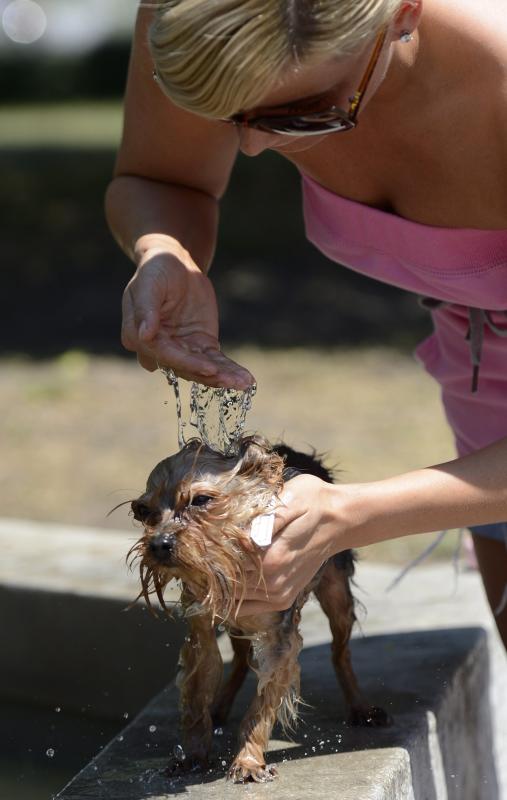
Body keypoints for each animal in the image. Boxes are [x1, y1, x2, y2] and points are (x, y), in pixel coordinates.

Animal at [129, 434, 390, 784]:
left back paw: (361, 707)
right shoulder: (202, 627)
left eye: (200, 500)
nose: (159, 544)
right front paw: (193, 756)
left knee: (340, 651)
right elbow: (197, 696)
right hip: (237, 622)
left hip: (336, 590)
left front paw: (248, 762)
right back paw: (219, 707)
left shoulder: (281, 641)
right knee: (240, 659)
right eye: (144, 511)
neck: (230, 560)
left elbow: (261, 708)